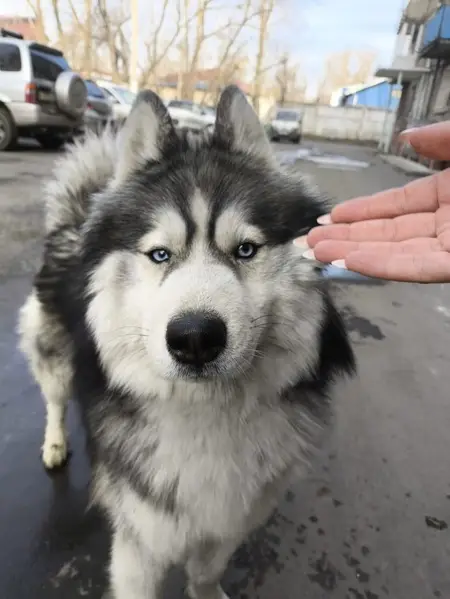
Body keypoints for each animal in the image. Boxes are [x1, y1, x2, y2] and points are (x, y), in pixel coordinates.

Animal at [18, 85, 355, 599]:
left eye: (246, 250)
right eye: (159, 254)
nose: (195, 338)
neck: (206, 412)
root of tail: (79, 214)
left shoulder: (234, 513)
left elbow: (206, 569)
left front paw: (207, 590)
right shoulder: (140, 535)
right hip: (53, 354)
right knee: (55, 397)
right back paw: (54, 443)